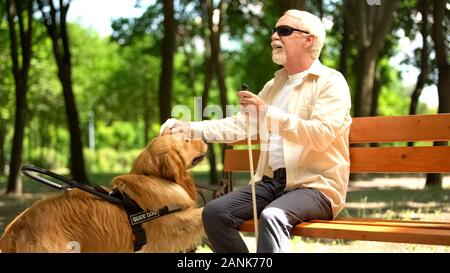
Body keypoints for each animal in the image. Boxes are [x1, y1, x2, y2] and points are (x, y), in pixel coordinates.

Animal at [0, 135, 207, 252]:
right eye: (186, 140)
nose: (206, 140)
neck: (153, 176)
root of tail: (15, 230)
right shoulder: (173, 226)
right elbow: (201, 213)